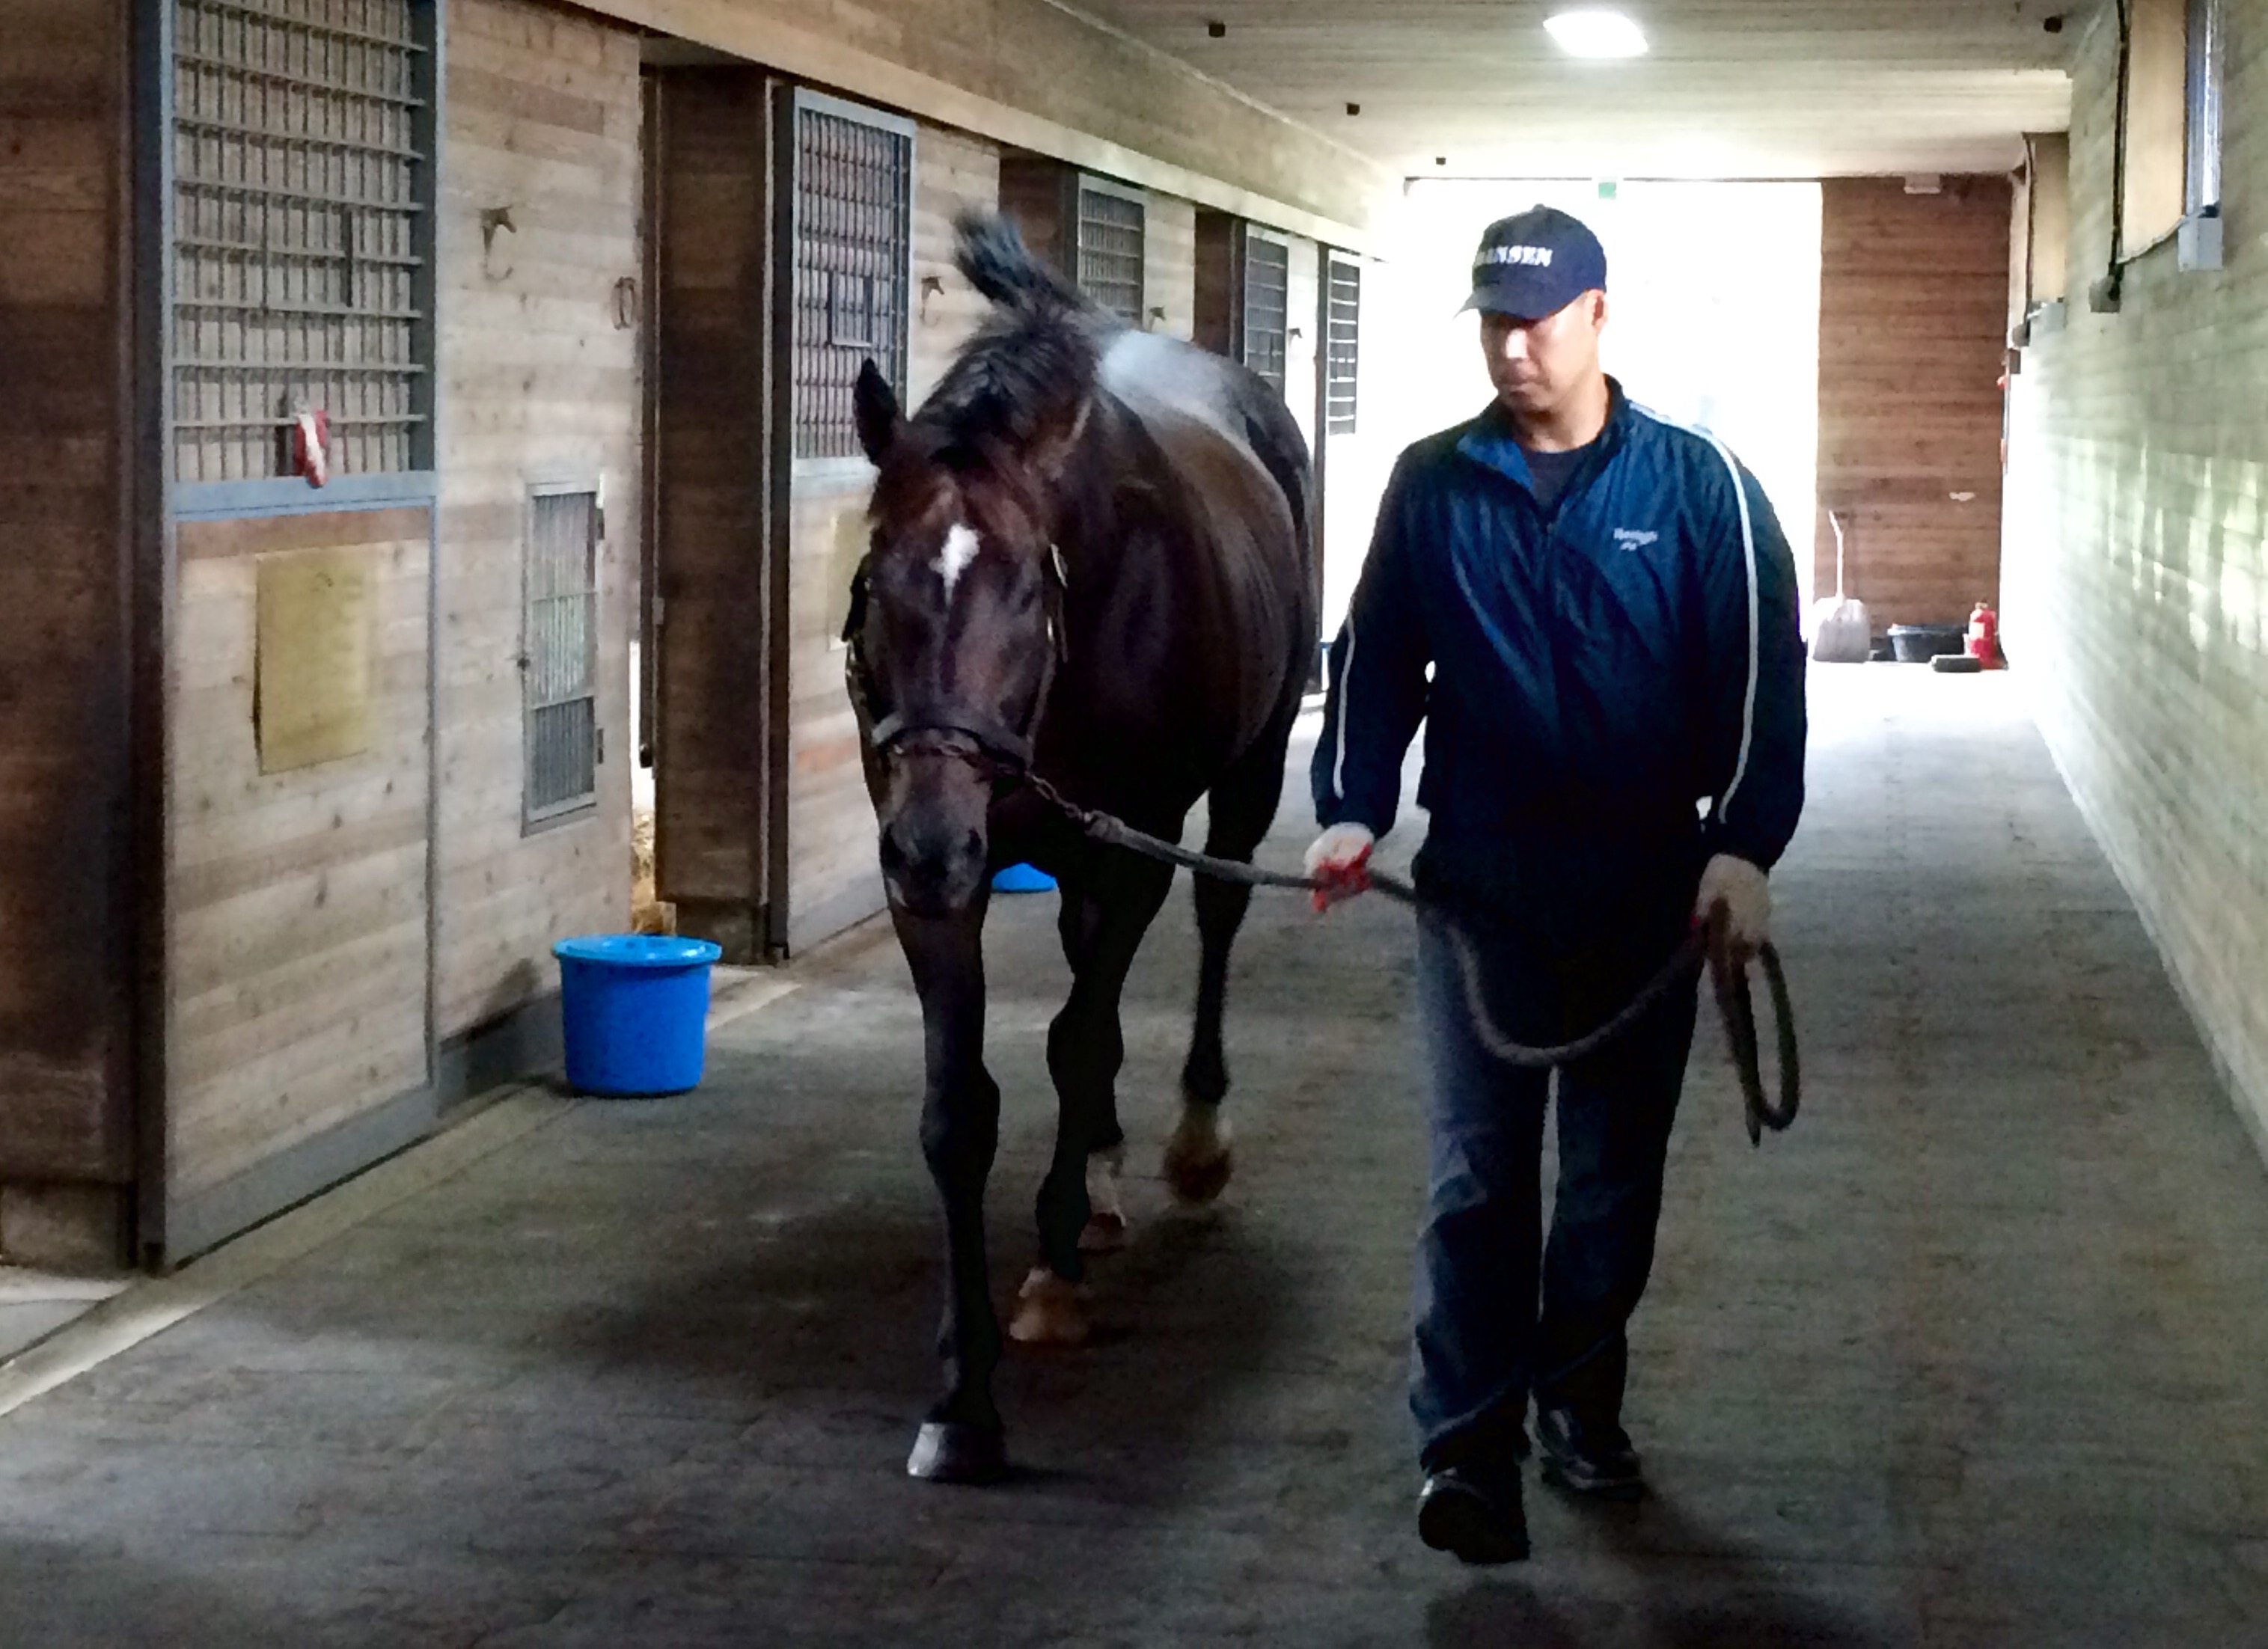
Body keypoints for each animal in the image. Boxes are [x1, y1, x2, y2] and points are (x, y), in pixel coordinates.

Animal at [848, 209, 1315, 1487]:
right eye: (873, 581)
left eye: (1023, 584)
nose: (928, 842)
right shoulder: (934, 881)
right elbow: (959, 1107)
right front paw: (961, 1400)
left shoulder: (1134, 851)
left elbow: (1076, 1037)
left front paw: (1050, 1279)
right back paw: (1098, 1174)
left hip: (1245, 780)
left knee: (1211, 925)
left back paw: (1187, 1145)